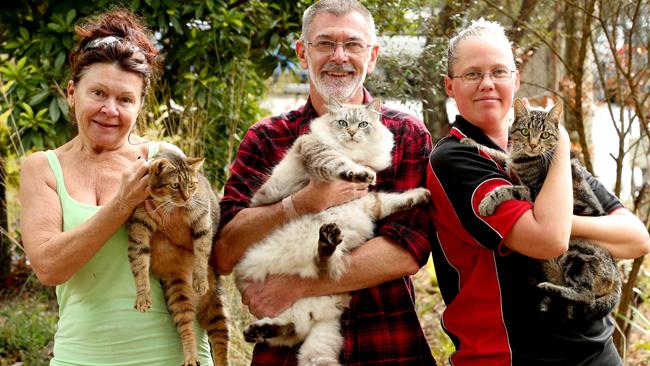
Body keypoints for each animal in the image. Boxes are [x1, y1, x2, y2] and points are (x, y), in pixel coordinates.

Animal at [126, 149, 228, 366]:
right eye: (175, 185)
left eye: (191, 185)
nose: (187, 198)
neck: (169, 205)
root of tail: (199, 304)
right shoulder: (138, 229)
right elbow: (139, 264)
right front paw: (143, 296)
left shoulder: (202, 222)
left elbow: (201, 253)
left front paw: (200, 280)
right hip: (177, 295)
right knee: (187, 329)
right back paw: (190, 357)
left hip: (218, 305)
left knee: (222, 343)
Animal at [460, 98, 616, 324]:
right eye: (525, 131)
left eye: (545, 135)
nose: (533, 144)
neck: (524, 158)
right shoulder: (511, 162)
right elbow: (500, 153)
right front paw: (472, 142)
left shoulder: (534, 193)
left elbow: (510, 188)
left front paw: (488, 201)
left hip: (576, 253)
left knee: (586, 295)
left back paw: (549, 288)